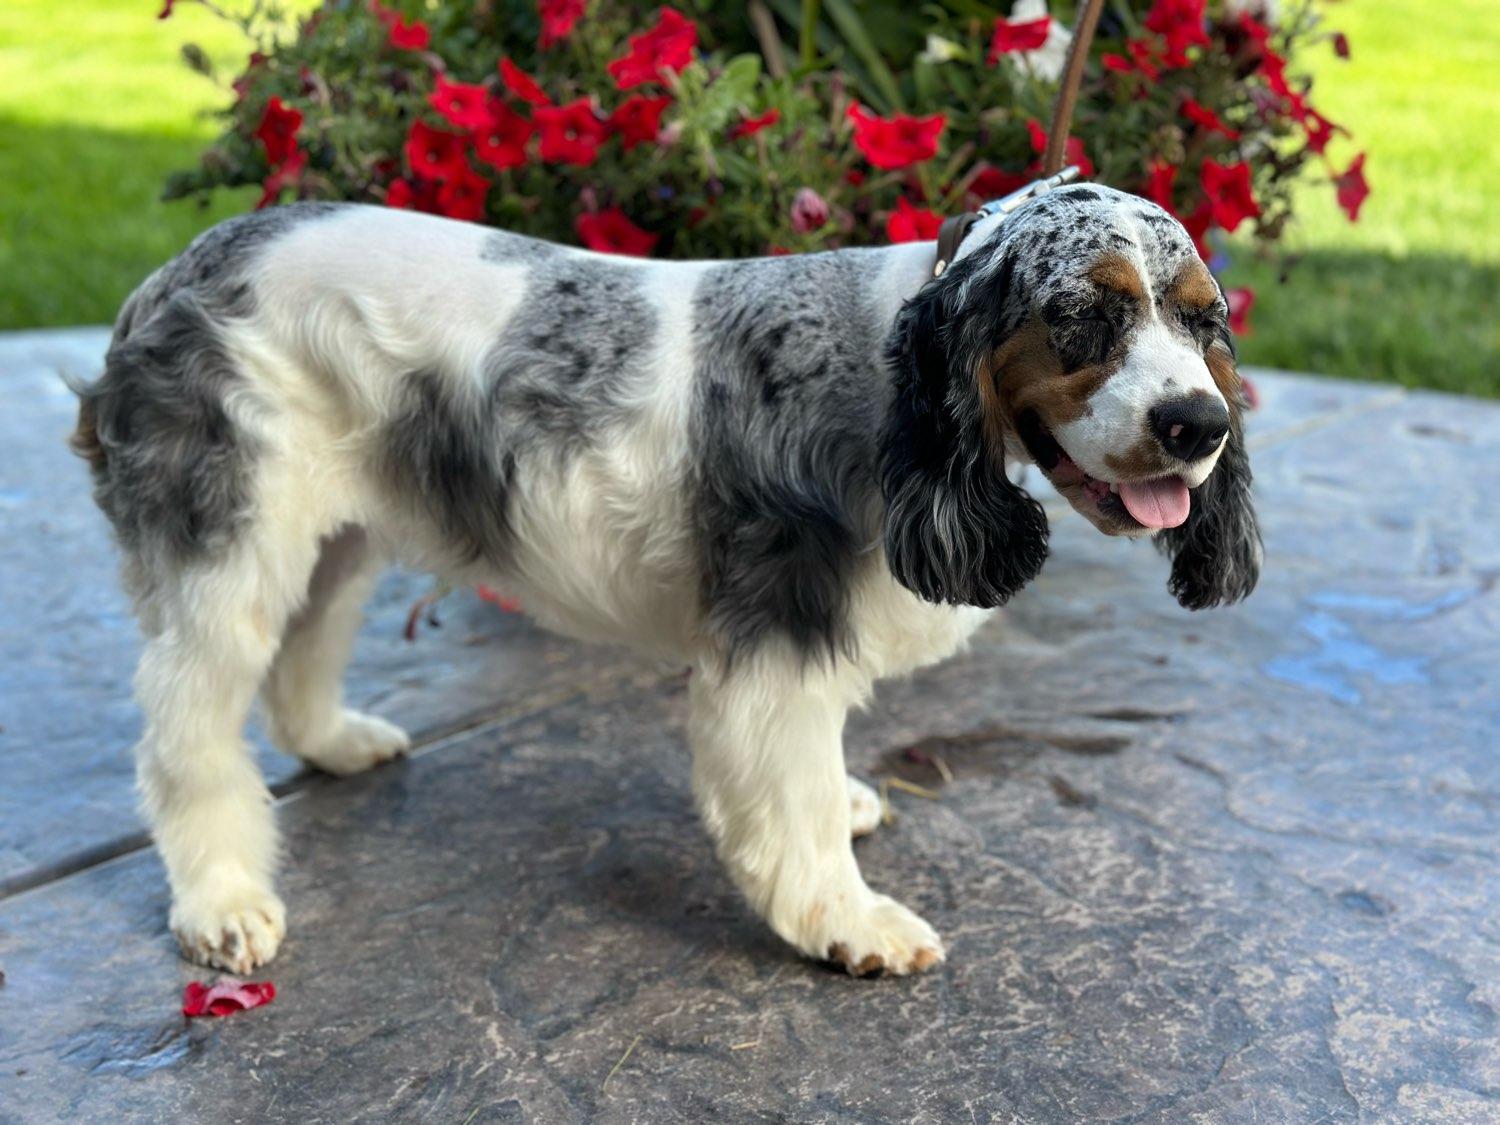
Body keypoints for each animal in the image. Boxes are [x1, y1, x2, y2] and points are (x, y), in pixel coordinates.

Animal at [71, 184, 1259, 978]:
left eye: (1204, 318)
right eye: (1082, 315)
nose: (1197, 424)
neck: (893, 385)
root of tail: (171, 275)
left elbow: (817, 778)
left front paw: (850, 805)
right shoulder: (777, 640)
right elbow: (791, 812)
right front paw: (854, 925)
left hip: (338, 531)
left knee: (298, 658)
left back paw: (337, 743)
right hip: (231, 542)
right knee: (185, 734)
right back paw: (224, 903)